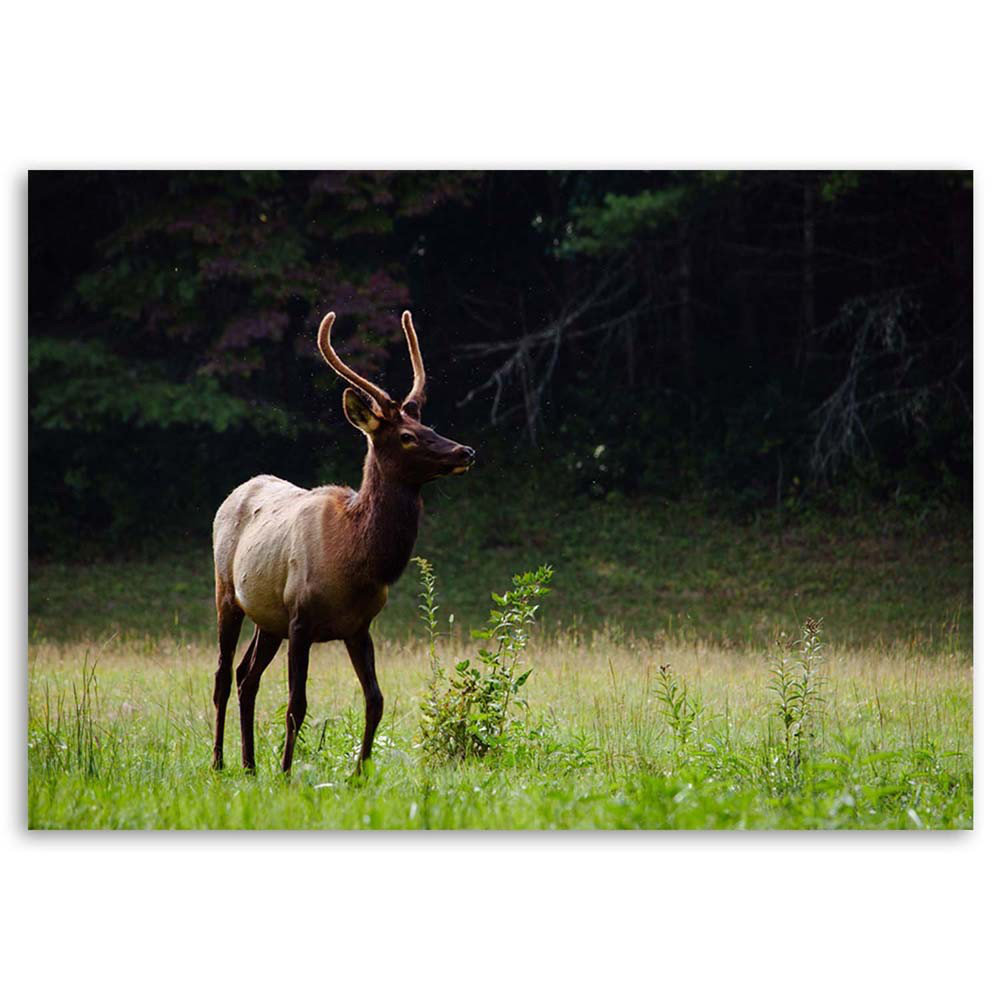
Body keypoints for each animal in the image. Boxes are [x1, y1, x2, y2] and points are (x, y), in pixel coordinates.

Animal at [209, 308, 474, 776]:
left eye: (427, 425)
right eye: (406, 436)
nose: (465, 452)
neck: (356, 561)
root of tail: (235, 491)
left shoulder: (359, 626)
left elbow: (376, 700)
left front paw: (360, 773)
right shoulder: (300, 617)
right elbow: (296, 705)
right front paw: (286, 772)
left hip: (267, 618)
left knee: (246, 676)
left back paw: (250, 764)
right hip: (228, 593)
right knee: (223, 675)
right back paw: (222, 762)